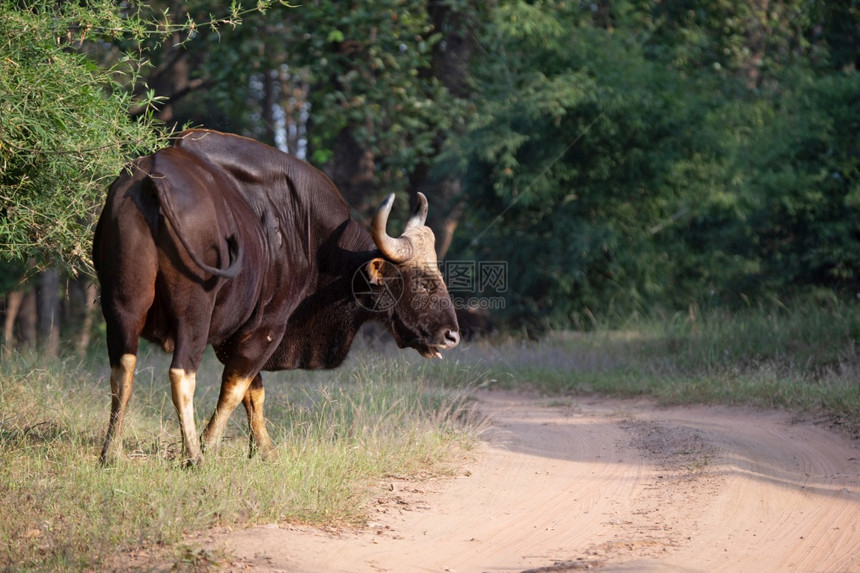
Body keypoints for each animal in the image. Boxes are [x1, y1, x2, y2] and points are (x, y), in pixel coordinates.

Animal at [91, 130, 460, 464]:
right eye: (422, 283)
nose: (451, 335)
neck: (306, 235)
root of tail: (152, 180)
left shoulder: (236, 336)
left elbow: (253, 391)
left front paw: (263, 450)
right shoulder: (266, 328)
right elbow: (236, 389)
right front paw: (210, 445)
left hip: (123, 304)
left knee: (122, 367)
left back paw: (111, 452)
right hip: (193, 315)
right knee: (181, 374)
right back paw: (194, 457)